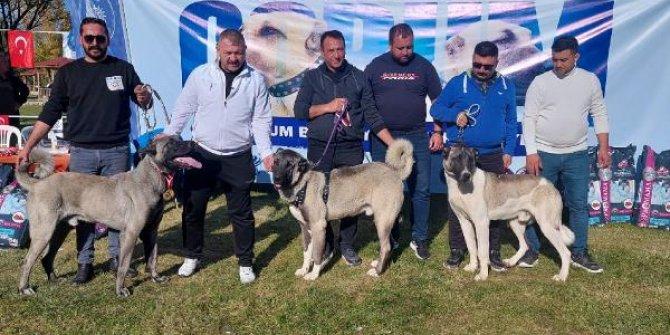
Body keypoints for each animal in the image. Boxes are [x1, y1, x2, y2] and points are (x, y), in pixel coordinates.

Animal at [16, 135, 202, 298]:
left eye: (180, 138)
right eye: (171, 143)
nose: (193, 143)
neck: (149, 178)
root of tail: (37, 184)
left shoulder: (151, 232)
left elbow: (152, 258)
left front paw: (155, 278)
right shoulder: (130, 234)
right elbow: (123, 266)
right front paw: (121, 290)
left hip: (59, 231)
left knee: (47, 257)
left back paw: (54, 280)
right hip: (44, 232)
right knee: (26, 262)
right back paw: (24, 288)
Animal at [272, 139, 414, 280]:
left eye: (290, 165)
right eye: (276, 162)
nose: (276, 179)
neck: (303, 185)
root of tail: (395, 173)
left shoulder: (318, 227)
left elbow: (317, 255)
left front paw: (313, 274)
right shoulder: (305, 228)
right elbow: (307, 253)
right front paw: (304, 270)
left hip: (382, 221)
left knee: (386, 247)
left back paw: (377, 272)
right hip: (386, 221)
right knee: (390, 244)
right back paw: (380, 263)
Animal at [444, 146, 576, 282]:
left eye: (471, 160)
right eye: (457, 159)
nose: (467, 176)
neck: (460, 187)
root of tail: (551, 186)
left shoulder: (481, 223)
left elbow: (482, 252)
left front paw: (483, 275)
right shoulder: (464, 222)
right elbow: (471, 247)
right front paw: (472, 267)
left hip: (547, 226)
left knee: (565, 253)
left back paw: (562, 276)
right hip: (515, 223)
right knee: (524, 246)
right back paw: (511, 261)